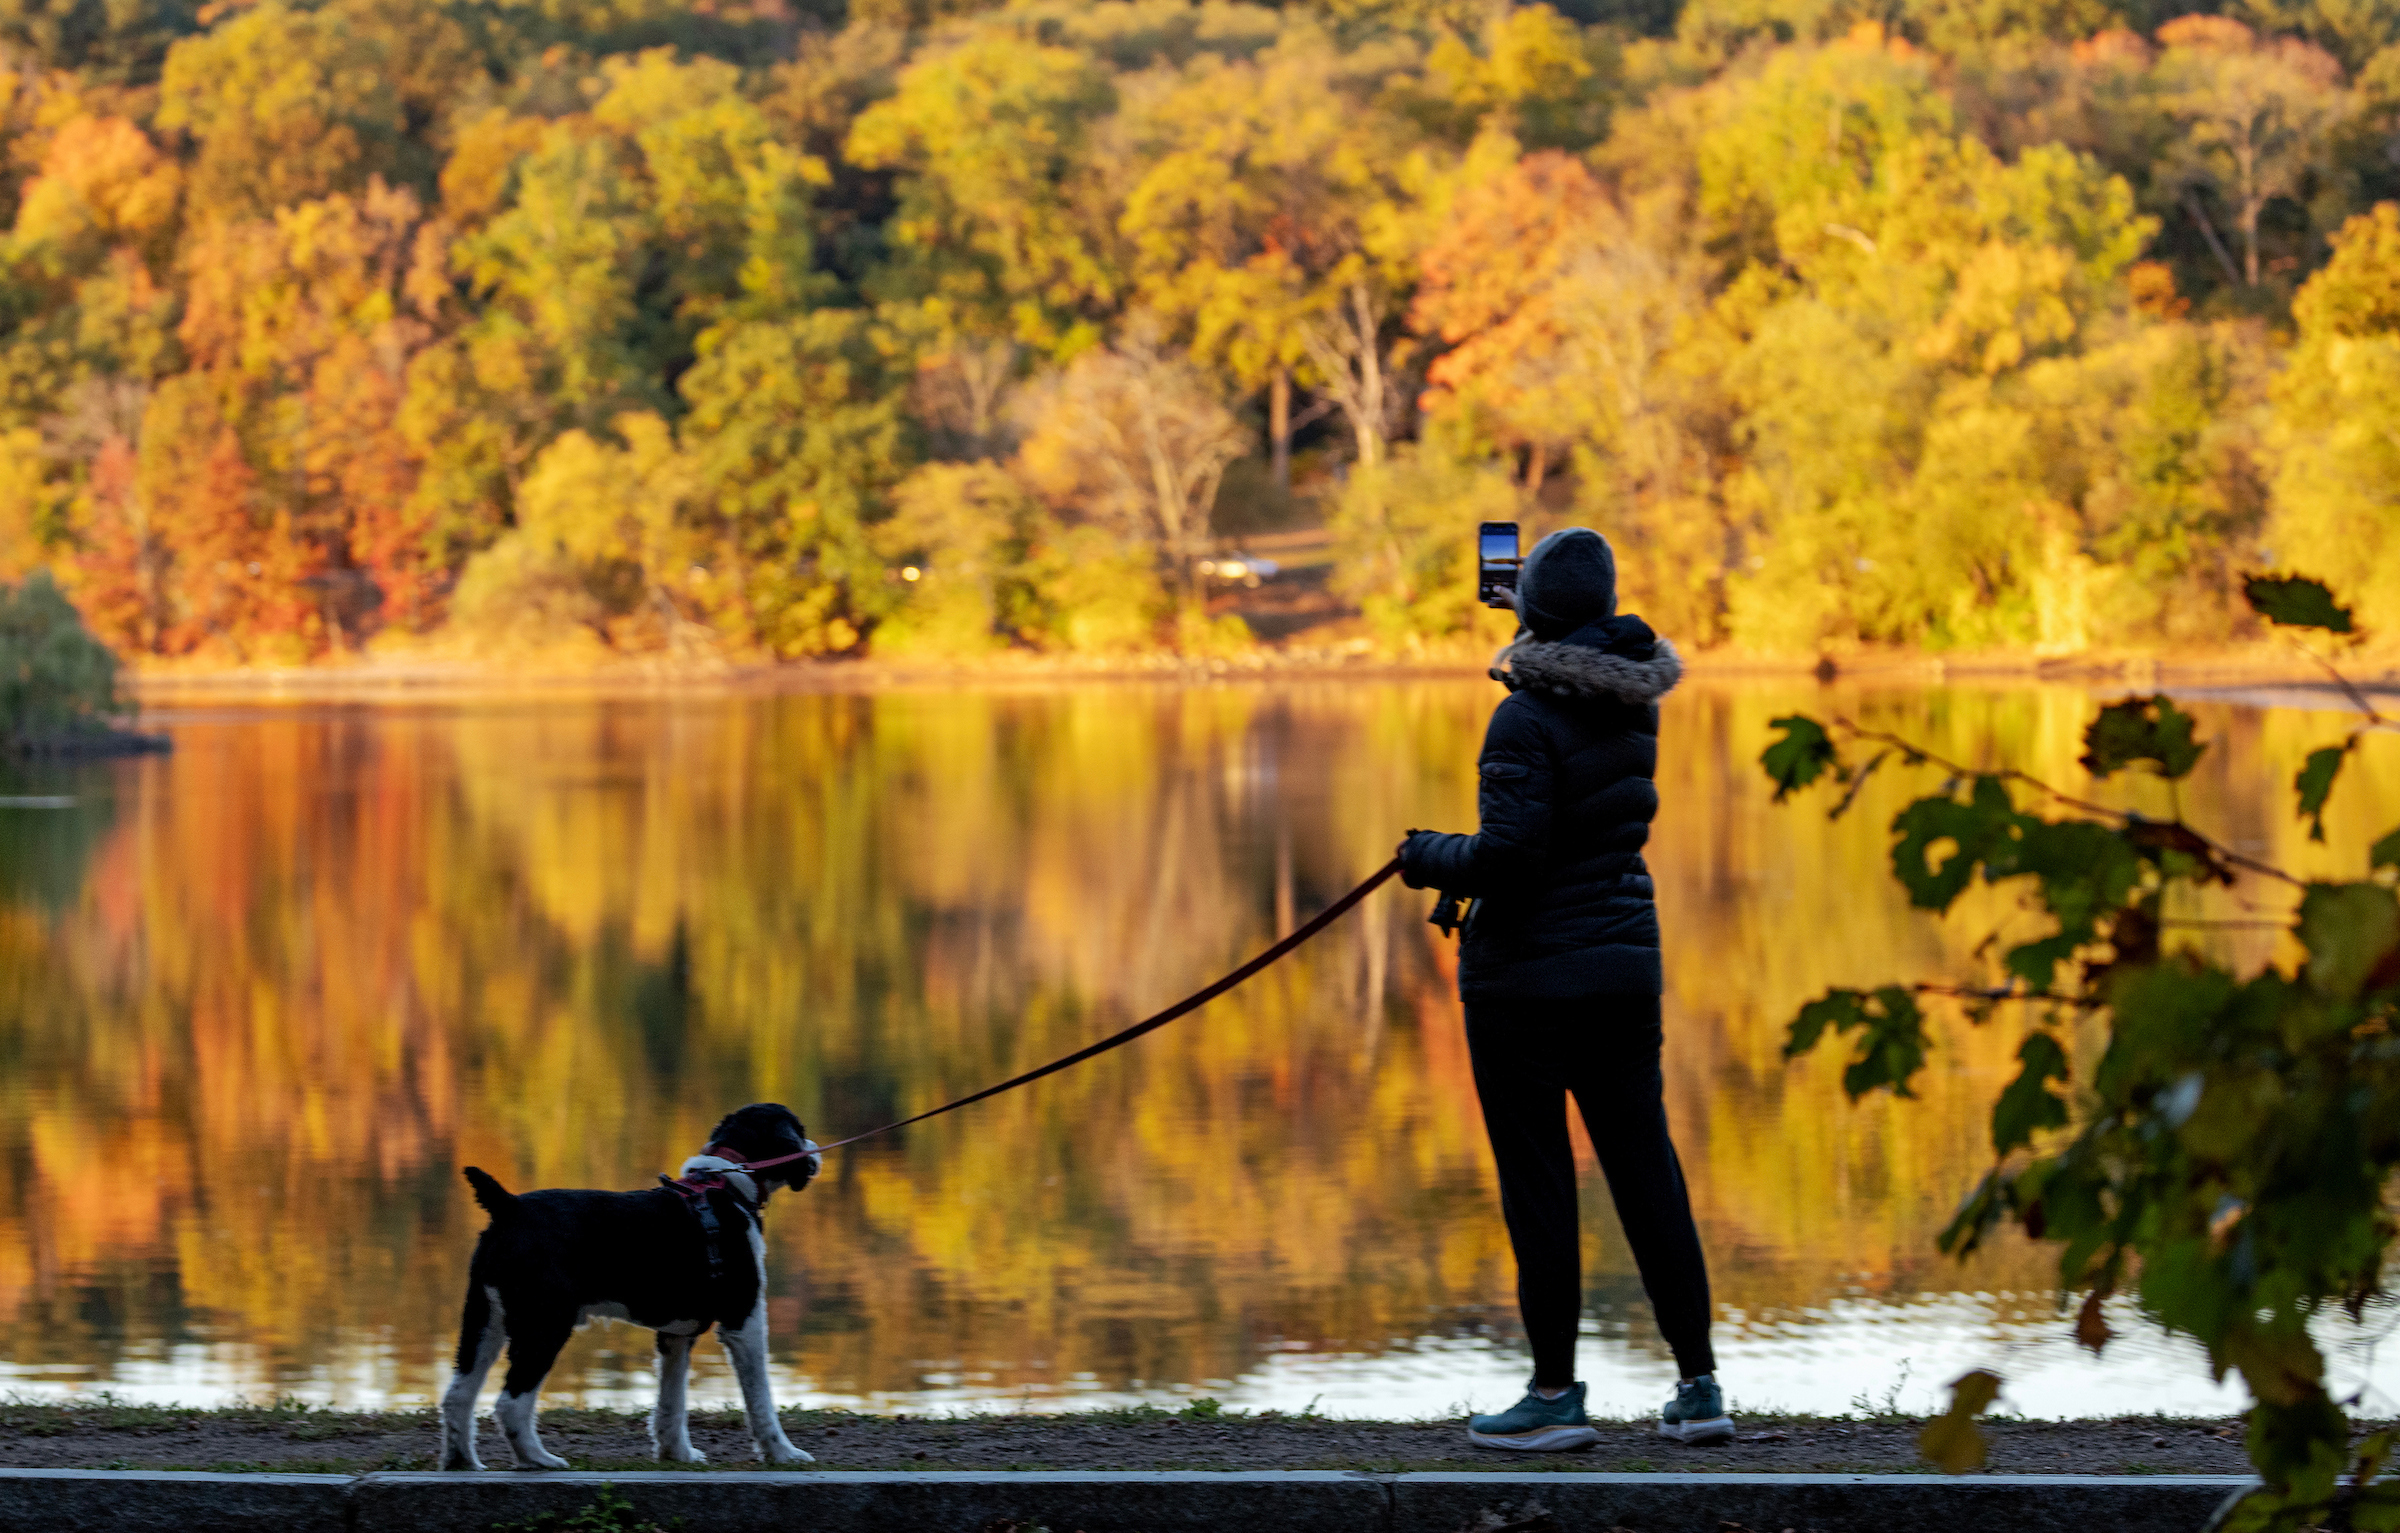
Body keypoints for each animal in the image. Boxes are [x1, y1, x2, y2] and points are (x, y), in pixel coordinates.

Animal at [441, 1103, 825, 1477]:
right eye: (799, 1131)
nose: (815, 1152)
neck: (727, 1186)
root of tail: (508, 1205)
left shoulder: (676, 1335)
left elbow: (672, 1401)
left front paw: (676, 1454)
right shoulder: (744, 1320)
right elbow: (760, 1399)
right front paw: (783, 1454)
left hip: (484, 1320)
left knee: (458, 1395)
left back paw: (463, 1462)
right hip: (545, 1325)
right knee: (511, 1402)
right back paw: (537, 1460)